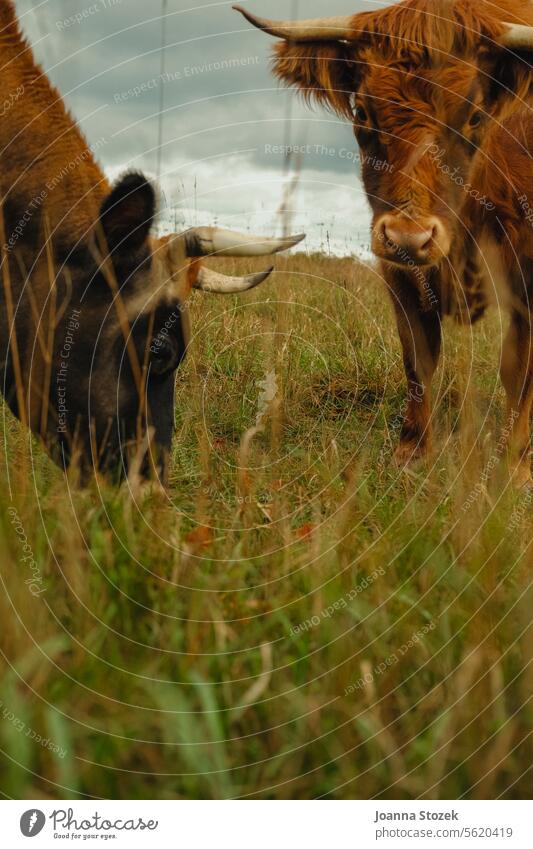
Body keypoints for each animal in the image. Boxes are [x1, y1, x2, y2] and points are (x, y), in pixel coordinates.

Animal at [234, 0, 533, 484]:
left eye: (474, 115)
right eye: (363, 112)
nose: (409, 236)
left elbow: (519, 371)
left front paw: (516, 465)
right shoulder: (399, 272)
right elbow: (419, 358)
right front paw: (411, 453)